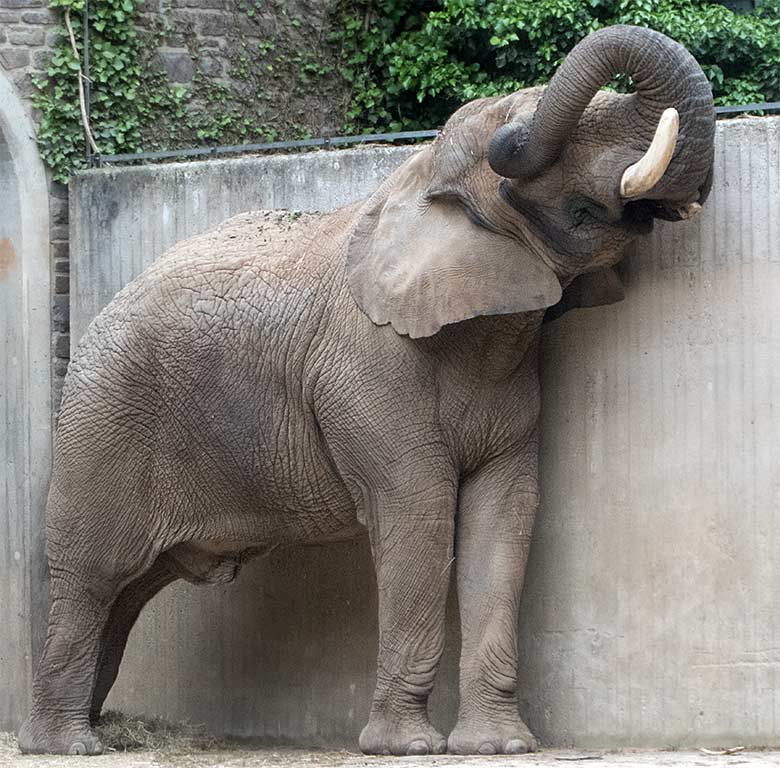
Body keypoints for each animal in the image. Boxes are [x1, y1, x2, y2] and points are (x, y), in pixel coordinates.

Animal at [16, 22, 712, 756]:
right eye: (515, 131)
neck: (417, 179)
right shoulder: (367, 370)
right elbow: (419, 515)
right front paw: (407, 748)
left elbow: (504, 517)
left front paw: (497, 747)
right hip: (101, 423)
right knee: (92, 579)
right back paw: (66, 746)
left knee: (126, 594)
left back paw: (85, 731)